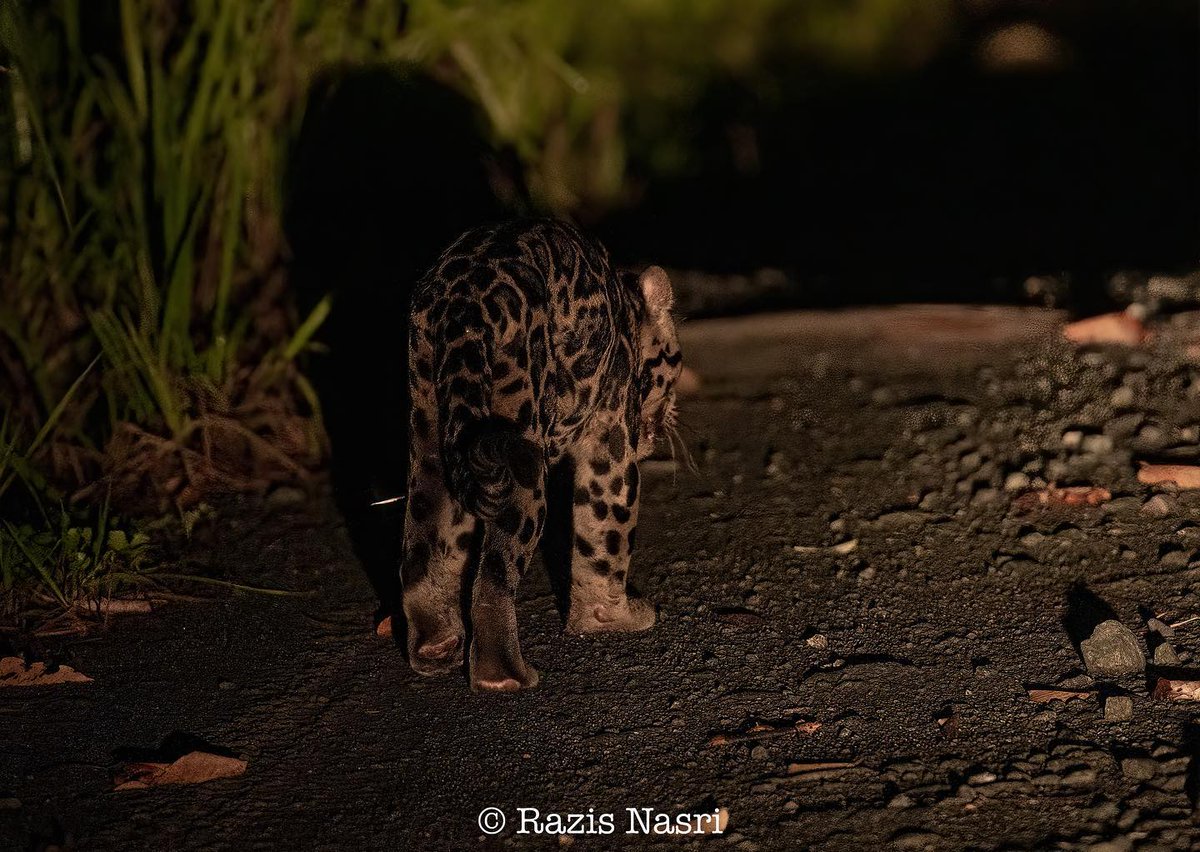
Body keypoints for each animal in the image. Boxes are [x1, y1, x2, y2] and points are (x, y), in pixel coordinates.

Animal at [399, 217, 683, 692]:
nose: (673, 414)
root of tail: (462, 301)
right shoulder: (611, 439)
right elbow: (606, 531)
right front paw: (611, 619)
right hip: (522, 453)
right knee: (494, 575)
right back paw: (502, 675)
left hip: (433, 432)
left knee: (424, 543)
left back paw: (434, 648)